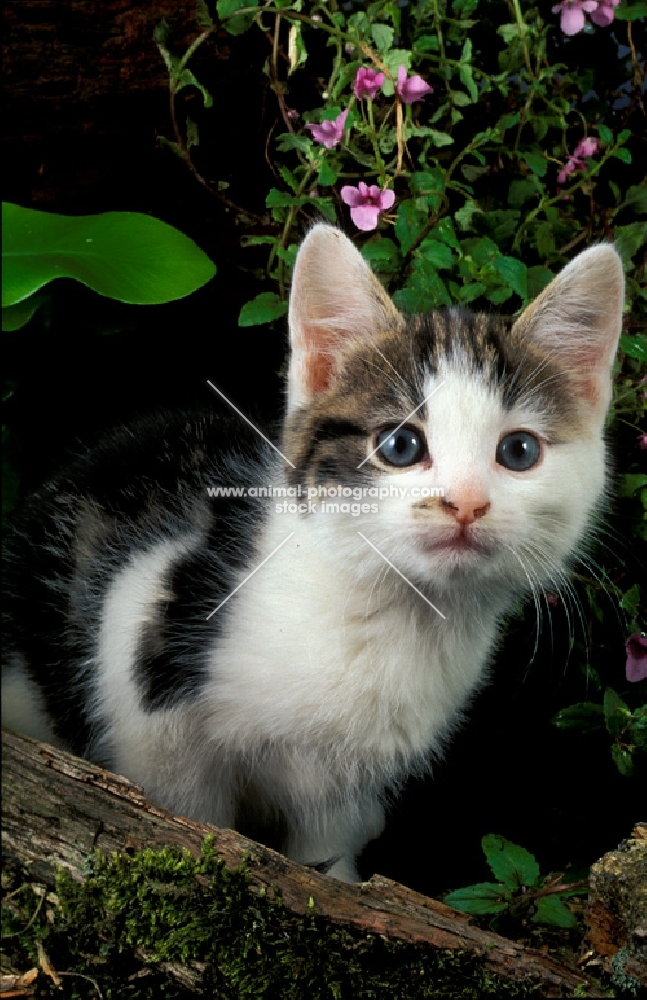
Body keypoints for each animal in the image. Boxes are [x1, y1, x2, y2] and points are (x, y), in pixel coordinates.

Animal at [1, 227, 628, 884]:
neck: (389, 615)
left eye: (520, 451)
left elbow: (326, 853)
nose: (465, 504)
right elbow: (185, 811)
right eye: (400, 445)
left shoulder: (346, 786)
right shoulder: (146, 658)